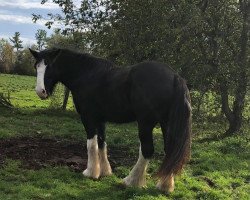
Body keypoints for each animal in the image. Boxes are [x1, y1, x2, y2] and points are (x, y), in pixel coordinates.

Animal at [29, 47, 192, 193]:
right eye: (36, 66)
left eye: (50, 65)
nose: (40, 92)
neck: (85, 74)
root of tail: (175, 76)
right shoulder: (101, 120)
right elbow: (102, 143)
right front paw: (105, 171)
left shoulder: (88, 118)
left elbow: (91, 144)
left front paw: (90, 173)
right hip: (166, 123)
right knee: (169, 150)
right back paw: (165, 186)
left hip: (145, 123)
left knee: (147, 150)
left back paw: (130, 181)